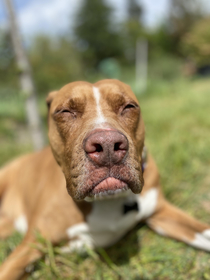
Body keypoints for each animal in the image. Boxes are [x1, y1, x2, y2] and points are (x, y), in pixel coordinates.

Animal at [0, 80, 210, 278]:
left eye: (129, 106)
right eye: (65, 111)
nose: (107, 144)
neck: (108, 199)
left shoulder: (161, 212)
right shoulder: (32, 244)